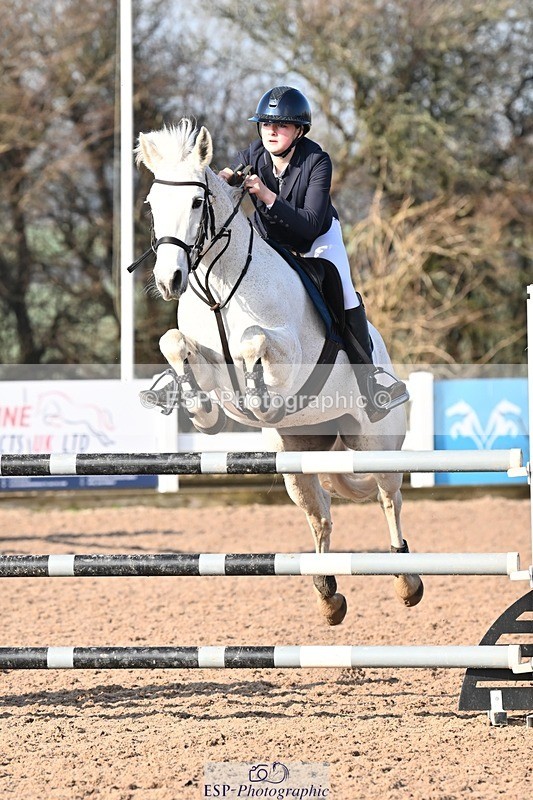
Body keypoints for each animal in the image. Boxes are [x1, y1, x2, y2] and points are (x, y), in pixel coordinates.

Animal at [133, 119, 423, 625]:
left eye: (196, 203)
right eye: (152, 204)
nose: (170, 281)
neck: (219, 286)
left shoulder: (287, 353)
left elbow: (254, 342)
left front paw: (258, 395)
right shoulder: (207, 362)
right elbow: (175, 345)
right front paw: (196, 405)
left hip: (376, 443)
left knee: (390, 498)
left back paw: (406, 582)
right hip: (297, 459)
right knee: (321, 515)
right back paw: (328, 596)